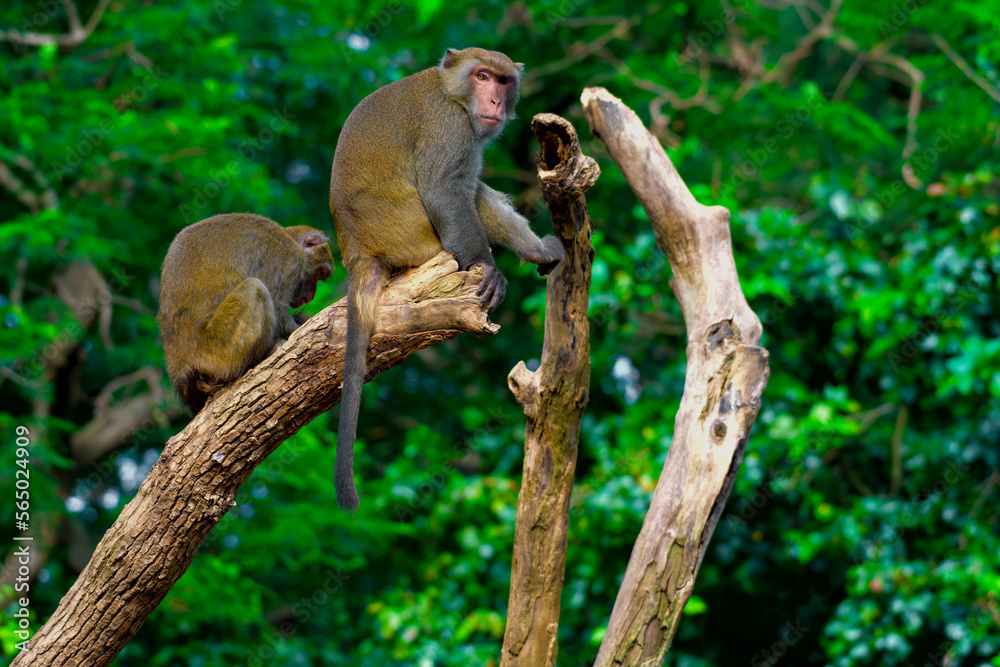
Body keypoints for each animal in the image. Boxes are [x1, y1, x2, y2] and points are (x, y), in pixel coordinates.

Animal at [158, 213, 334, 413]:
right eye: (319, 273)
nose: (309, 297)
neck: (290, 237)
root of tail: (180, 365)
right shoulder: (287, 260)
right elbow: (277, 304)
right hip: (218, 350)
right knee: (255, 288)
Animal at [329, 47, 565, 511]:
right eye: (482, 76)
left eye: (503, 81)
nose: (494, 101)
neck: (450, 91)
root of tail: (358, 252)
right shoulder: (450, 127)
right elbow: (447, 191)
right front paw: (487, 268)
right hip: (415, 236)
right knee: (467, 193)